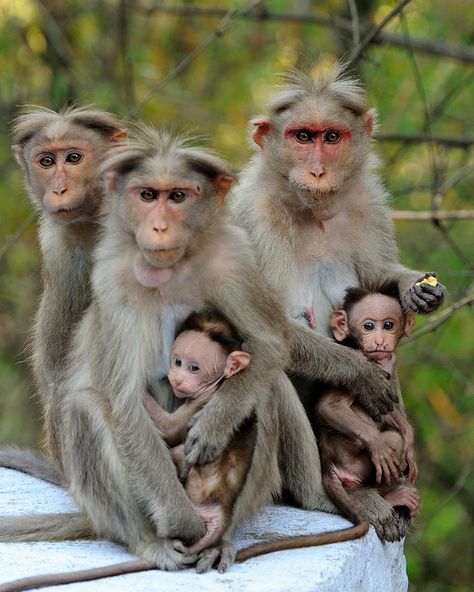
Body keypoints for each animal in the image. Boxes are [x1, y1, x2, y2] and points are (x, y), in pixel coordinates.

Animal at [144, 310, 256, 560]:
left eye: (194, 368)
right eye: (177, 361)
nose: (175, 377)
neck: (217, 384)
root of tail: (222, 508)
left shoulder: (202, 402)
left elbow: (170, 428)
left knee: (179, 452)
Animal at [316, 282, 420, 540]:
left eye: (389, 325)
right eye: (368, 326)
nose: (380, 341)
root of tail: (328, 467)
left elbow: (386, 406)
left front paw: (410, 438)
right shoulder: (362, 364)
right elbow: (329, 406)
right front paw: (378, 445)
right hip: (356, 465)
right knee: (392, 439)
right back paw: (392, 494)